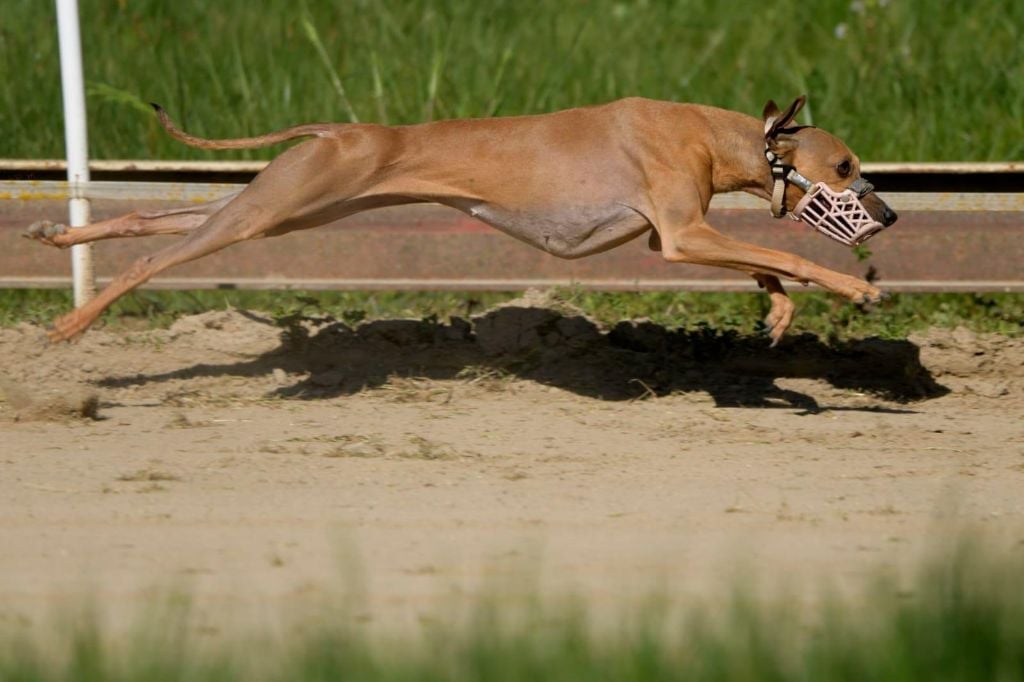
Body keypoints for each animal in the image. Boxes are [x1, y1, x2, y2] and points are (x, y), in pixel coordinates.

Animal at [22, 94, 888, 339]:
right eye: (847, 165)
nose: (889, 213)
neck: (708, 131)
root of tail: (338, 131)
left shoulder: (673, 236)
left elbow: (768, 264)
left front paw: (777, 310)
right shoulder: (681, 237)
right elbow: (798, 255)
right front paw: (858, 289)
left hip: (280, 207)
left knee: (147, 222)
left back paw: (57, 234)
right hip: (272, 211)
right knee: (150, 258)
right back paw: (71, 323)